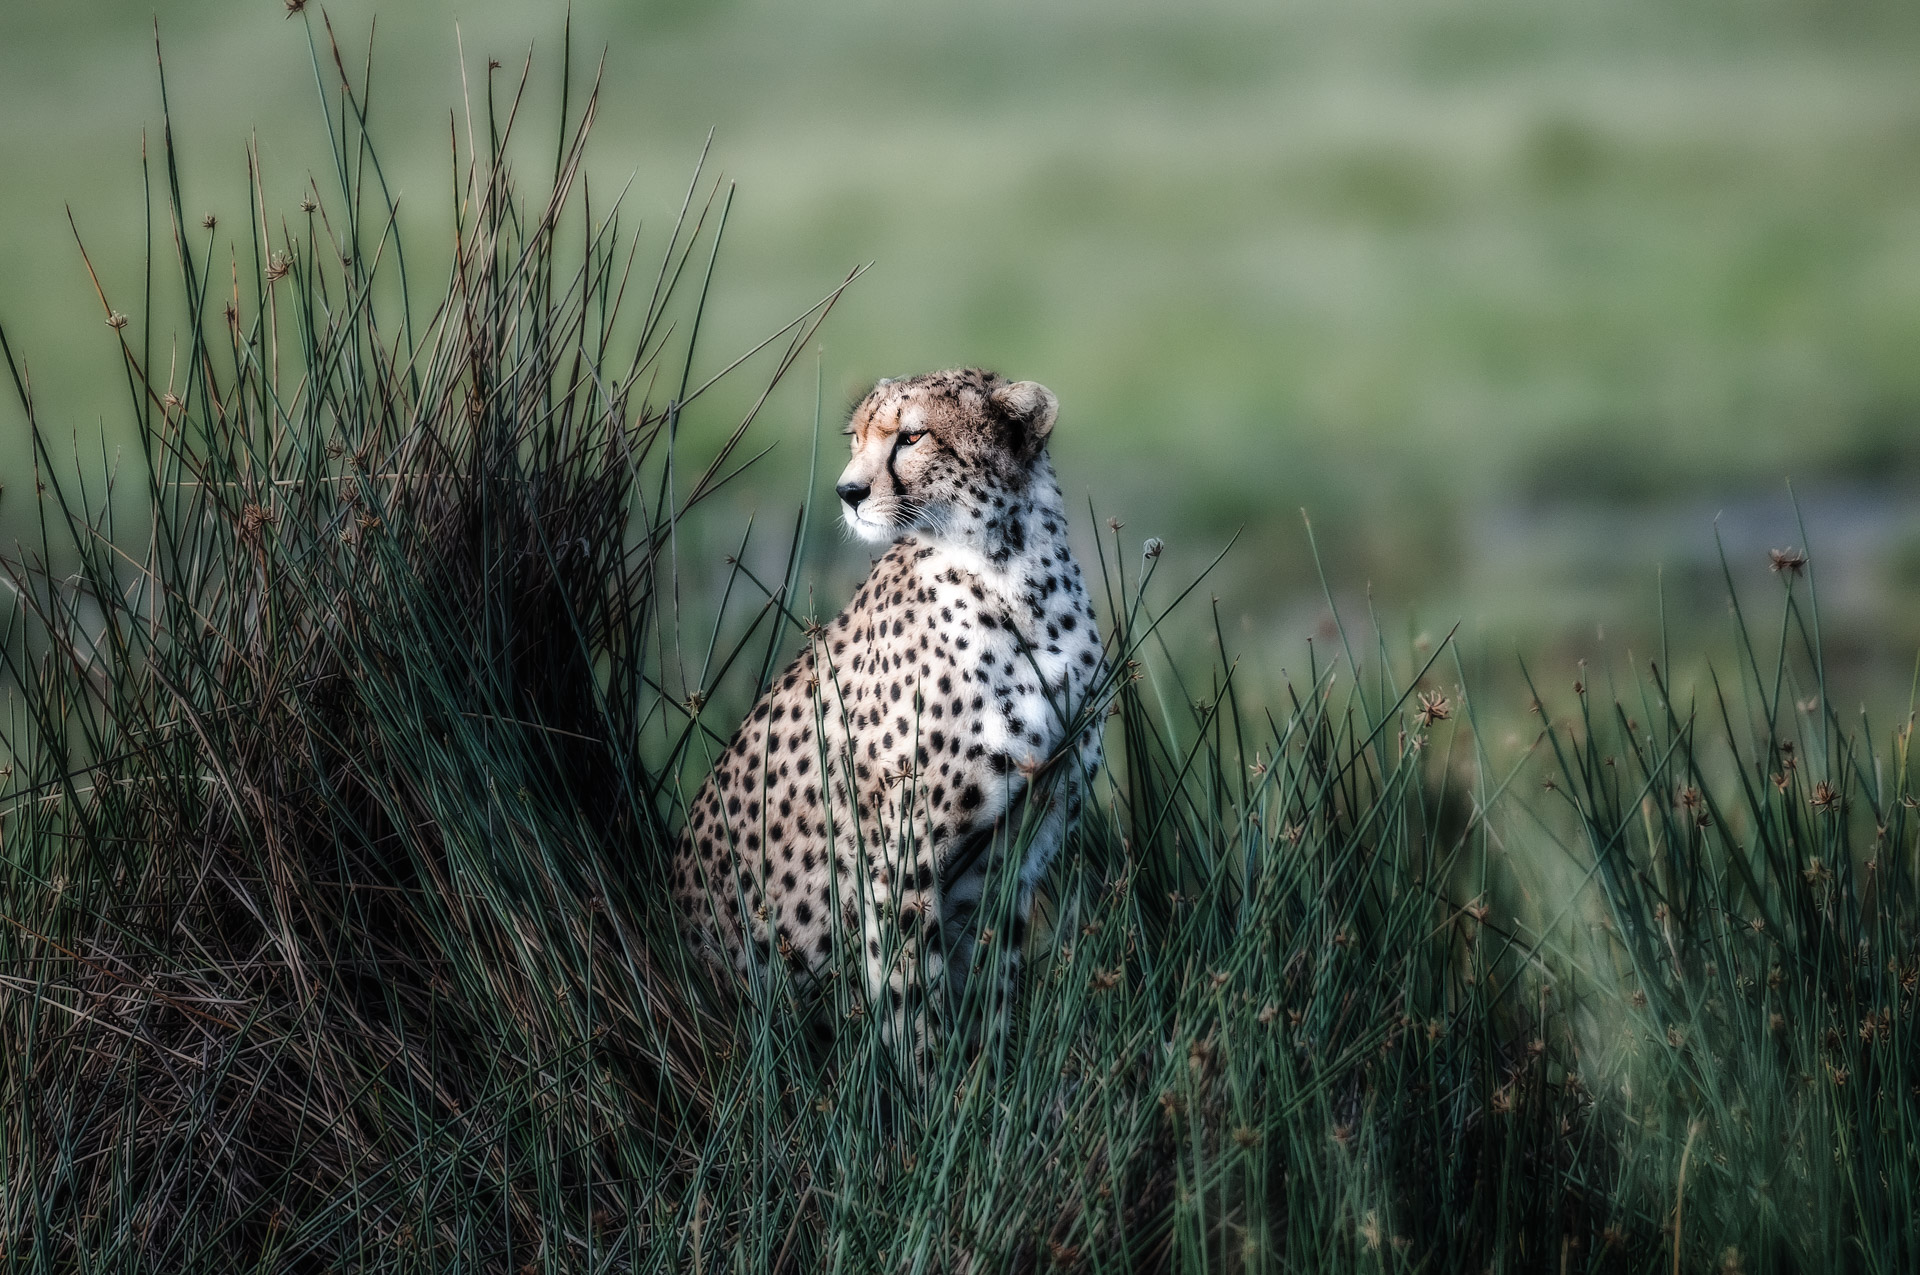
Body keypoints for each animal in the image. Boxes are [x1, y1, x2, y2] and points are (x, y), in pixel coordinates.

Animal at [671, 368, 1107, 1064]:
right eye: (856, 437)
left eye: (912, 436)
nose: (848, 492)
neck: (1016, 578)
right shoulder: (900, 860)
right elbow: (912, 1014)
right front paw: (924, 1090)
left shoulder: (1011, 858)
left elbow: (989, 1004)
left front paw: (986, 1084)